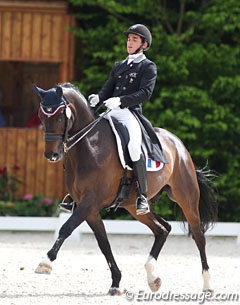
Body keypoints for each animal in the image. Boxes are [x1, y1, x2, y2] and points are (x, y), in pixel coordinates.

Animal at [32, 82, 218, 294]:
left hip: (186, 198)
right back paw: (153, 277)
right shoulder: (88, 208)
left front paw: (45, 262)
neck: (90, 146)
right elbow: (103, 243)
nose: (52, 155)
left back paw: (207, 284)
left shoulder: (90, 202)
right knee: (163, 228)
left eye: (60, 116)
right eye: (41, 117)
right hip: (134, 207)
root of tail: (177, 143)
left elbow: (66, 228)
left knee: (198, 236)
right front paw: (116, 282)